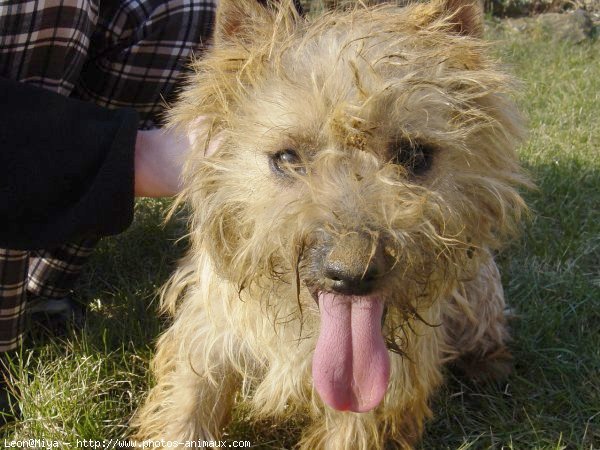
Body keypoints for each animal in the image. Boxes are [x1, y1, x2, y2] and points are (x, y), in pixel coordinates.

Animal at [132, 1, 528, 448]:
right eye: (287, 158)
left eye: (414, 155)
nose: (353, 275)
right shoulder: (206, 336)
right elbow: (188, 408)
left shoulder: (380, 390)